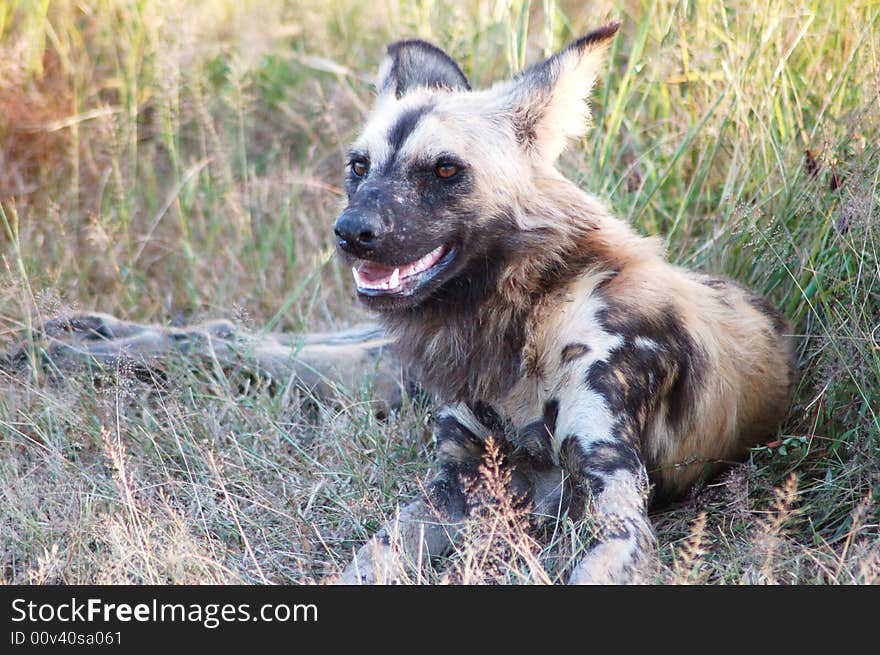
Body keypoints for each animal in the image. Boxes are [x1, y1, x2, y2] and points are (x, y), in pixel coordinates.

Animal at [332, 21, 796, 584]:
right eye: (359, 166)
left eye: (444, 170)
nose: (351, 231)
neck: (526, 320)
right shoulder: (451, 489)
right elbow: (369, 559)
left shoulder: (615, 509)